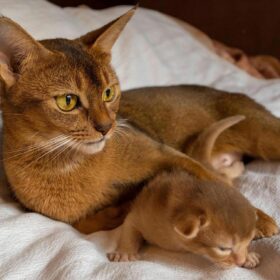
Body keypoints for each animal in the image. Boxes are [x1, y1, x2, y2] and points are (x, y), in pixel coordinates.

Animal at [107, 171, 260, 270]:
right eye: (223, 248)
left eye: (248, 242)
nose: (240, 261)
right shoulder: (142, 211)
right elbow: (130, 226)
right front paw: (125, 252)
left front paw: (249, 256)